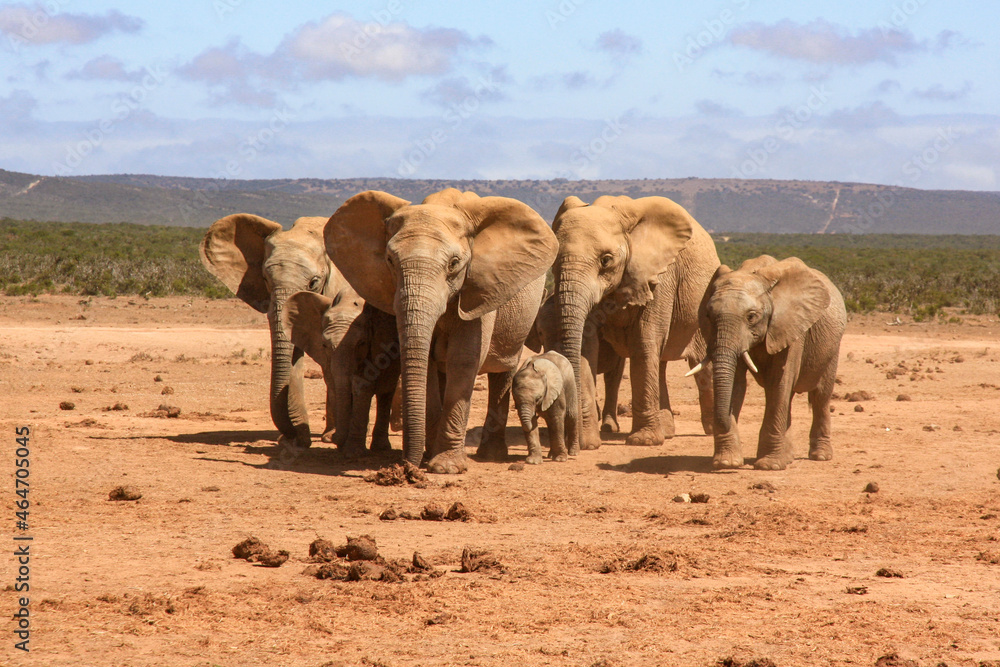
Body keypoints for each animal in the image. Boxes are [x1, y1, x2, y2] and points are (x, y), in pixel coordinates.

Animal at [281, 290, 400, 457]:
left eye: (361, 343)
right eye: (324, 345)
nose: (333, 438)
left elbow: (367, 383)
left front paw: (352, 451)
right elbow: (335, 385)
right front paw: (343, 446)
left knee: (386, 390)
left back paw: (380, 447)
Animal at [324, 189, 558, 474]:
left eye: (454, 263)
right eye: (389, 261)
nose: (406, 468)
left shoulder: (479, 289)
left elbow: (464, 359)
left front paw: (445, 468)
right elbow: (427, 364)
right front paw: (429, 459)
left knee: (503, 370)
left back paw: (490, 455)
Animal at [552, 195, 719, 451]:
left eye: (606, 260)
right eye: (553, 261)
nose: (573, 447)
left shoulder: (659, 276)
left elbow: (643, 342)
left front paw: (643, 442)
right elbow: (586, 346)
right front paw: (588, 444)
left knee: (700, 363)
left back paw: (710, 430)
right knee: (660, 363)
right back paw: (667, 432)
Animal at [691, 255, 847, 471]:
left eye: (751, 317)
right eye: (709, 316)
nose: (715, 425)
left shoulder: (790, 327)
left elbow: (779, 382)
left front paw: (768, 466)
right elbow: (737, 384)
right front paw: (726, 463)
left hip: (833, 346)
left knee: (820, 396)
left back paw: (820, 456)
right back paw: (788, 457)